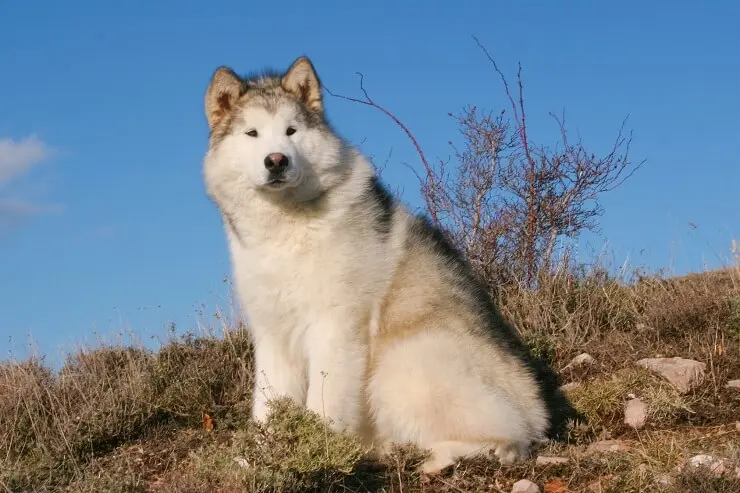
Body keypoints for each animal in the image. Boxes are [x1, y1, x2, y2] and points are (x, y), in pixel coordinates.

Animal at [199, 54, 568, 472]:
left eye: (291, 131)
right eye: (252, 133)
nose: (276, 161)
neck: (287, 226)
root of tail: (538, 414)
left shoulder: (334, 327)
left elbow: (325, 402)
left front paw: (318, 449)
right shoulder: (272, 334)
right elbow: (268, 405)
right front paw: (262, 458)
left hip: (404, 362)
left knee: (504, 441)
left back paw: (430, 457)